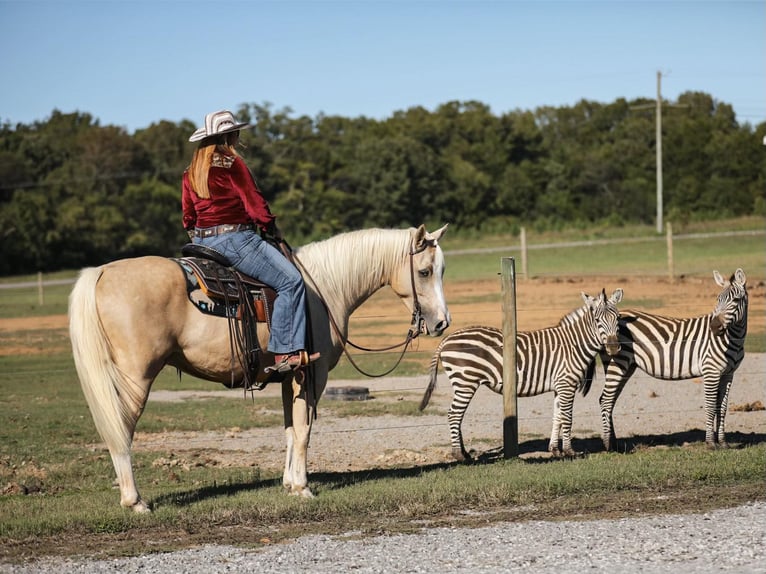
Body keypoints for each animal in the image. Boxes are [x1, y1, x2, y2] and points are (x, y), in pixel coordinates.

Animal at [69, 225, 452, 512]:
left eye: (442, 271)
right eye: (424, 271)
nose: (442, 323)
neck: (324, 290)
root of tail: (103, 272)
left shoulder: (289, 375)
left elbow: (290, 430)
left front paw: (288, 483)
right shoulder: (312, 376)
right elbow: (304, 431)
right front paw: (302, 487)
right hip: (135, 379)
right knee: (121, 430)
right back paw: (134, 501)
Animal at [420, 290, 624, 462]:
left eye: (617, 318)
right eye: (597, 320)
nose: (614, 348)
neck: (573, 344)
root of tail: (447, 338)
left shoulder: (560, 386)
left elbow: (557, 416)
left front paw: (555, 450)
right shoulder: (567, 384)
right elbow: (567, 417)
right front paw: (569, 451)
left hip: (463, 383)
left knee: (457, 415)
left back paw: (464, 452)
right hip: (465, 382)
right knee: (454, 414)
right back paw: (459, 455)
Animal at [592, 268, 752, 452]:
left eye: (736, 300)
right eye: (718, 299)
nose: (714, 327)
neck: (733, 338)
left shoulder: (728, 374)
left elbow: (723, 407)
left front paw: (723, 443)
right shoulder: (711, 371)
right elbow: (711, 406)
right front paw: (711, 443)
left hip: (626, 367)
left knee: (609, 400)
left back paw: (615, 443)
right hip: (617, 363)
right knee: (605, 400)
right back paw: (608, 445)